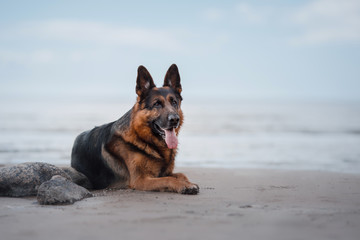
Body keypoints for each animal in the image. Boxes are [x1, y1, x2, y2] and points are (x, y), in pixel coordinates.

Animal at [70, 64, 200, 194]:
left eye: (174, 102)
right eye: (157, 104)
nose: (175, 119)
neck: (144, 139)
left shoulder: (164, 172)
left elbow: (181, 174)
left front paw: (187, 182)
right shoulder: (140, 180)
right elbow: (168, 179)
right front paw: (184, 185)